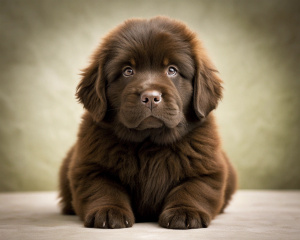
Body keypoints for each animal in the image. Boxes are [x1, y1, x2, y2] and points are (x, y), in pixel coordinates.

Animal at [58, 15, 237, 230]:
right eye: (128, 71)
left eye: (172, 70)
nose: (151, 97)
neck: (149, 143)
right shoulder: (88, 167)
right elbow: (104, 188)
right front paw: (108, 211)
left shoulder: (209, 169)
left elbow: (193, 188)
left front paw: (185, 212)